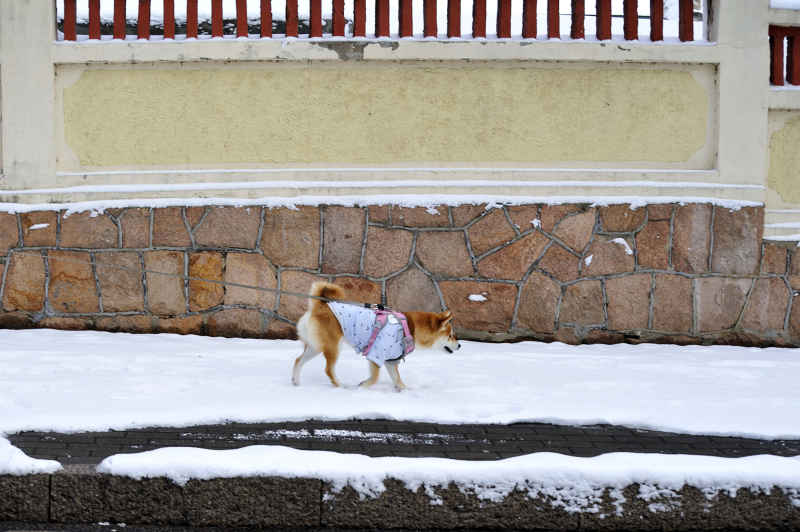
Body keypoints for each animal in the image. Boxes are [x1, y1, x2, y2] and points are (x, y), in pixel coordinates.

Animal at [290, 282, 460, 390]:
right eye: (451, 335)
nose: (459, 345)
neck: (408, 328)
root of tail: (321, 305)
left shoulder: (391, 361)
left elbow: (398, 380)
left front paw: (406, 391)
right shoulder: (376, 355)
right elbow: (374, 378)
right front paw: (362, 387)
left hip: (316, 347)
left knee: (298, 360)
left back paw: (296, 382)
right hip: (333, 347)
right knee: (328, 370)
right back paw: (341, 386)